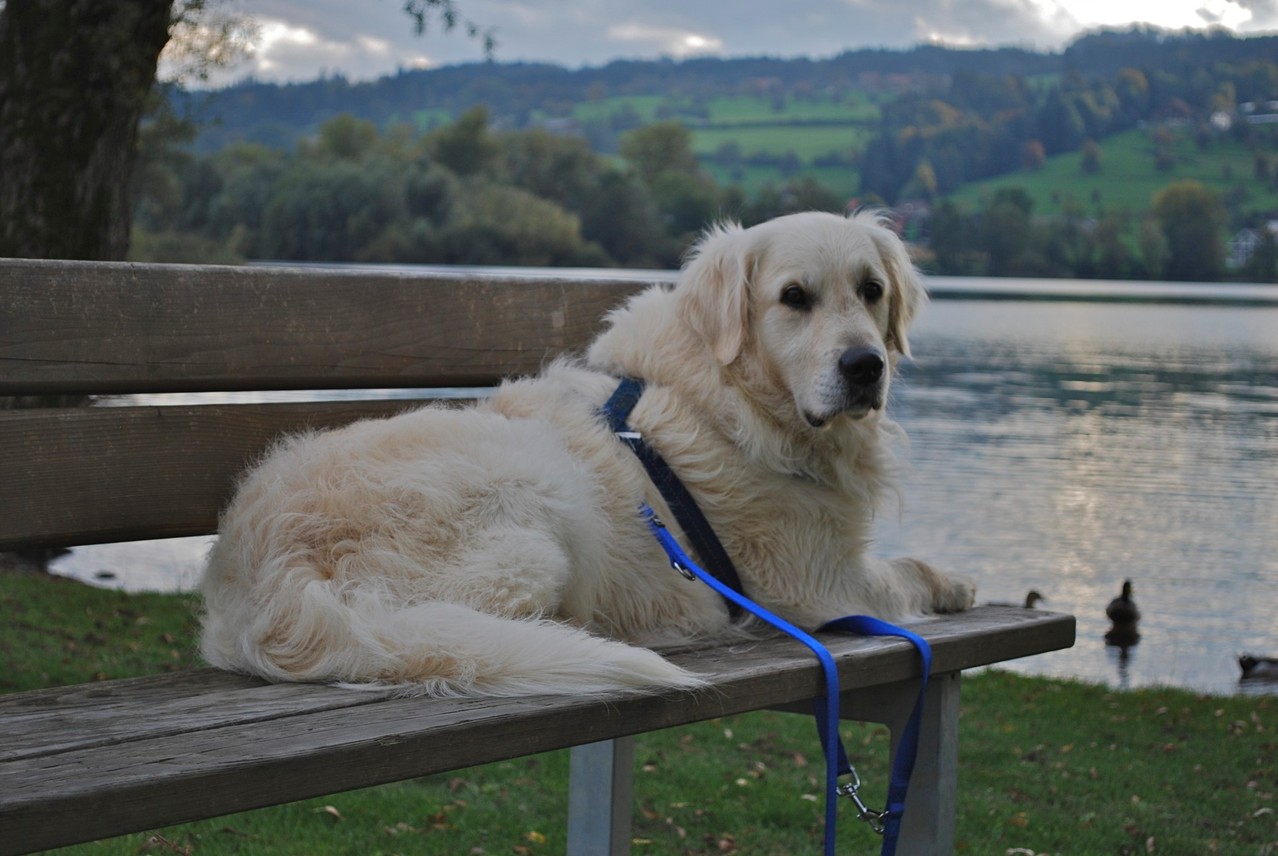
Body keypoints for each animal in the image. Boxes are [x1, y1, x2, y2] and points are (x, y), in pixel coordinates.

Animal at [199, 210, 971, 700]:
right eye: (793, 298)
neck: (732, 397)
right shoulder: (820, 582)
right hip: (540, 513)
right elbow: (905, 571)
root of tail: (264, 583)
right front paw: (953, 584)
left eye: (872, 291)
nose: (865, 366)